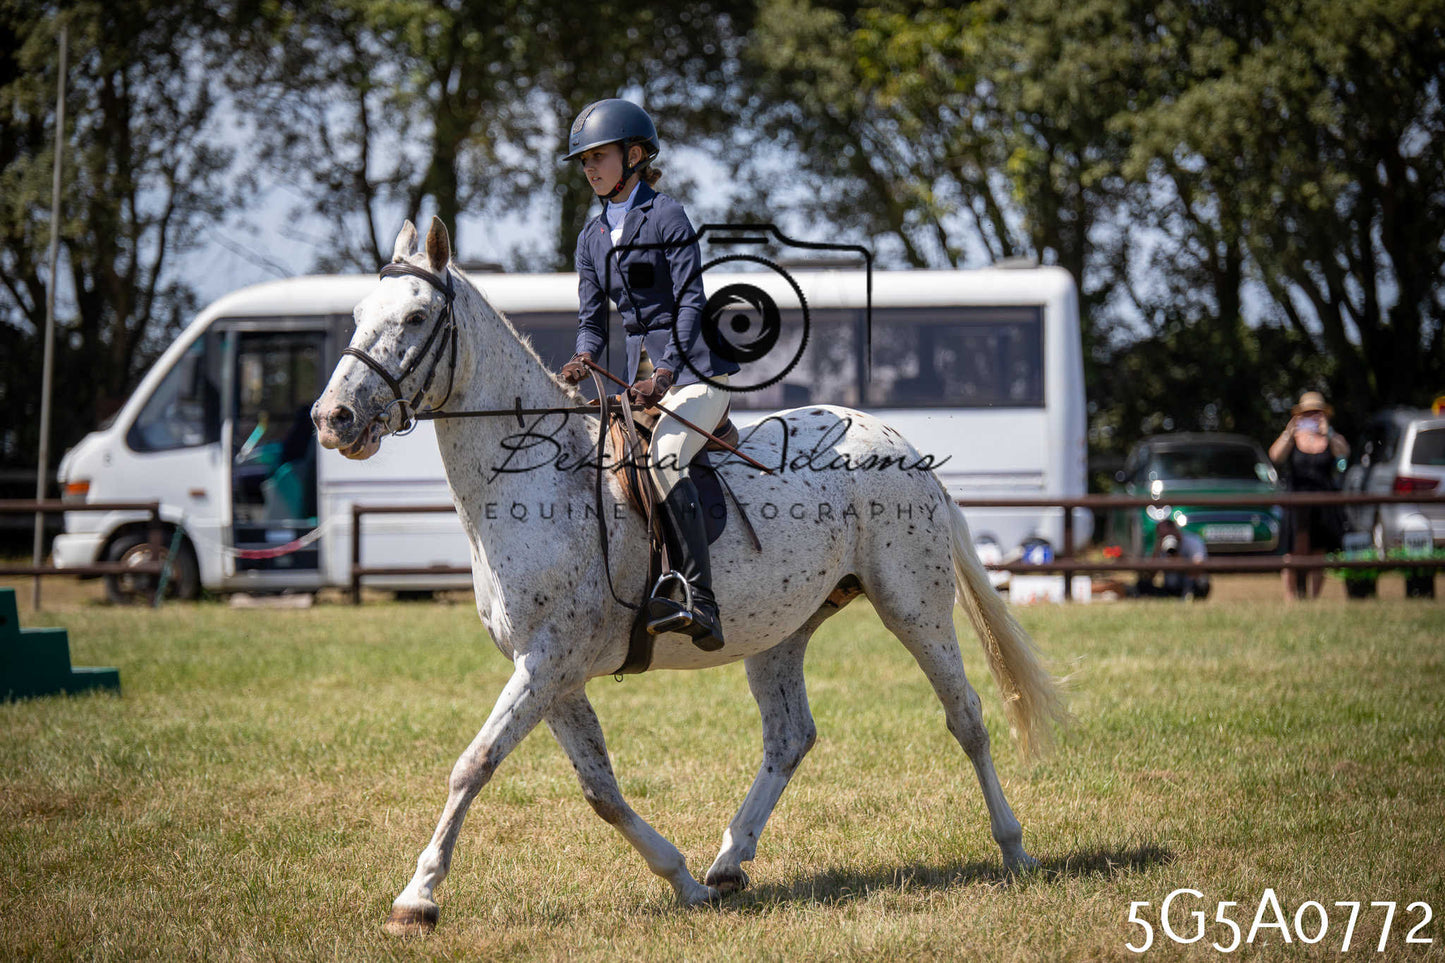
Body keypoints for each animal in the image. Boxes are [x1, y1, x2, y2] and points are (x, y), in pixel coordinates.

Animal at [312, 218, 1067, 935]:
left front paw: (417, 897)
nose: (331, 419)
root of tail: (899, 444)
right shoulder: (549, 671)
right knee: (790, 736)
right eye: (357, 312)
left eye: (415, 317)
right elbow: (600, 790)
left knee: (966, 716)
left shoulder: (549, 659)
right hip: (780, 631)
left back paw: (1014, 848)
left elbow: (473, 764)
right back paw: (728, 861)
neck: (535, 477)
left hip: (912, 605)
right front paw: (682, 881)